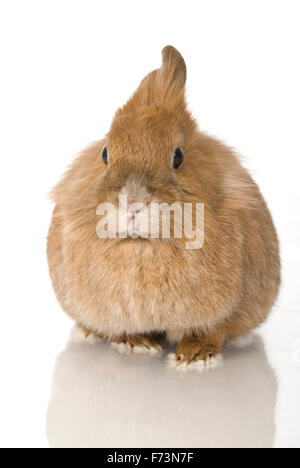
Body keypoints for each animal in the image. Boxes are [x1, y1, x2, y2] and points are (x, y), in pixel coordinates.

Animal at [46, 45, 278, 372]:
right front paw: (136, 344)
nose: (132, 204)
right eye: (105, 153)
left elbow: (213, 329)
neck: (142, 245)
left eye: (178, 156)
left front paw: (194, 357)